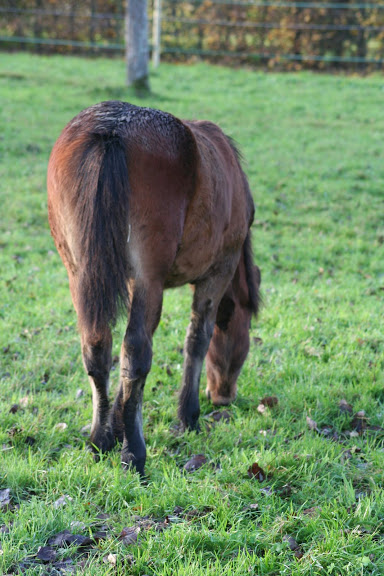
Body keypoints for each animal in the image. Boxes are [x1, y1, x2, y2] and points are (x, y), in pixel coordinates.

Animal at [46, 100, 260, 476]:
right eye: (242, 332)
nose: (223, 396)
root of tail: (111, 131)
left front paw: (117, 423)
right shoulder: (217, 271)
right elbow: (197, 338)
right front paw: (188, 417)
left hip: (80, 272)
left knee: (97, 347)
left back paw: (100, 440)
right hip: (150, 276)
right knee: (136, 352)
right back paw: (134, 453)